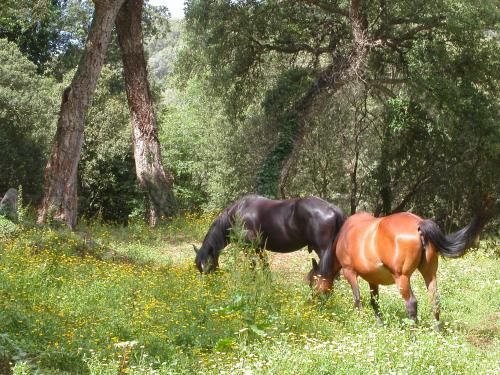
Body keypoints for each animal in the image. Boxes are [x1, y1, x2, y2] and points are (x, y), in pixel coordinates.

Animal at [193, 197, 346, 274]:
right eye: (199, 268)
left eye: (209, 266)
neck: (238, 212)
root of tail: (332, 208)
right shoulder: (259, 248)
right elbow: (265, 267)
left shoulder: (248, 249)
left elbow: (252, 267)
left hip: (323, 251)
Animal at [312, 207, 492, 328]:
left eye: (312, 283)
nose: (314, 303)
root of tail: (419, 224)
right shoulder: (373, 279)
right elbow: (374, 302)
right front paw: (379, 325)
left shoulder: (349, 272)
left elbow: (358, 300)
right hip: (430, 274)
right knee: (435, 301)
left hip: (402, 278)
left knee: (411, 303)